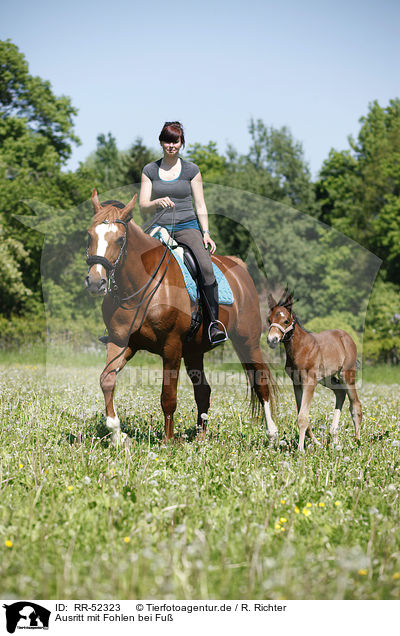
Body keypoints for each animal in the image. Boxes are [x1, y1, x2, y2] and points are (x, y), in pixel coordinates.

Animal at [85, 191, 276, 444]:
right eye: (89, 235)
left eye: (119, 239)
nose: (95, 282)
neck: (140, 286)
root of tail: (239, 267)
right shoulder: (121, 343)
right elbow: (106, 380)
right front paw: (117, 434)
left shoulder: (171, 347)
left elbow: (168, 396)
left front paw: (167, 442)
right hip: (195, 351)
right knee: (203, 391)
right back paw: (201, 438)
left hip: (248, 342)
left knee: (260, 382)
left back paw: (272, 434)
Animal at [266, 290, 362, 450]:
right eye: (269, 320)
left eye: (286, 321)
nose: (272, 340)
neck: (301, 348)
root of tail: (347, 337)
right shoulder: (297, 383)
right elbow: (302, 414)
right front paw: (315, 442)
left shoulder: (309, 381)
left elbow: (302, 417)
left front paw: (300, 450)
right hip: (326, 378)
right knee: (340, 392)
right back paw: (334, 436)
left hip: (346, 374)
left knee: (355, 404)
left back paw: (357, 441)